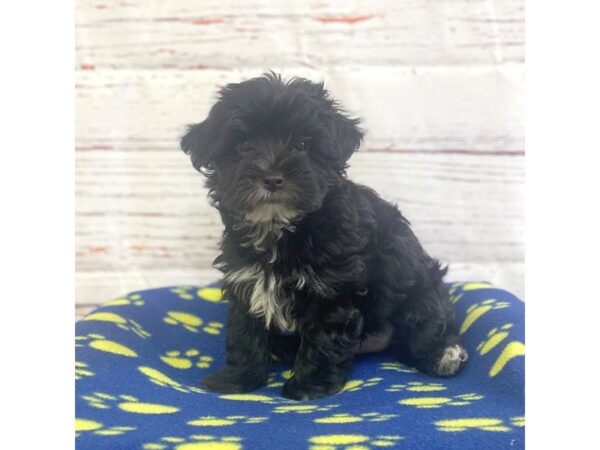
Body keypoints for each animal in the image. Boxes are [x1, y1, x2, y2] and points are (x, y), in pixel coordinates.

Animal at [182, 74, 468, 400]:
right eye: (242, 146)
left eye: (303, 144)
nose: (273, 178)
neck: (282, 228)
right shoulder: (247, 282)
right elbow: (244, 333)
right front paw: (237, 379)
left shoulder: (333, 289)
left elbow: (323, 339)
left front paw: (308, 387)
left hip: (418, 293)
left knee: (424, 332)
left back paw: (444, 356)